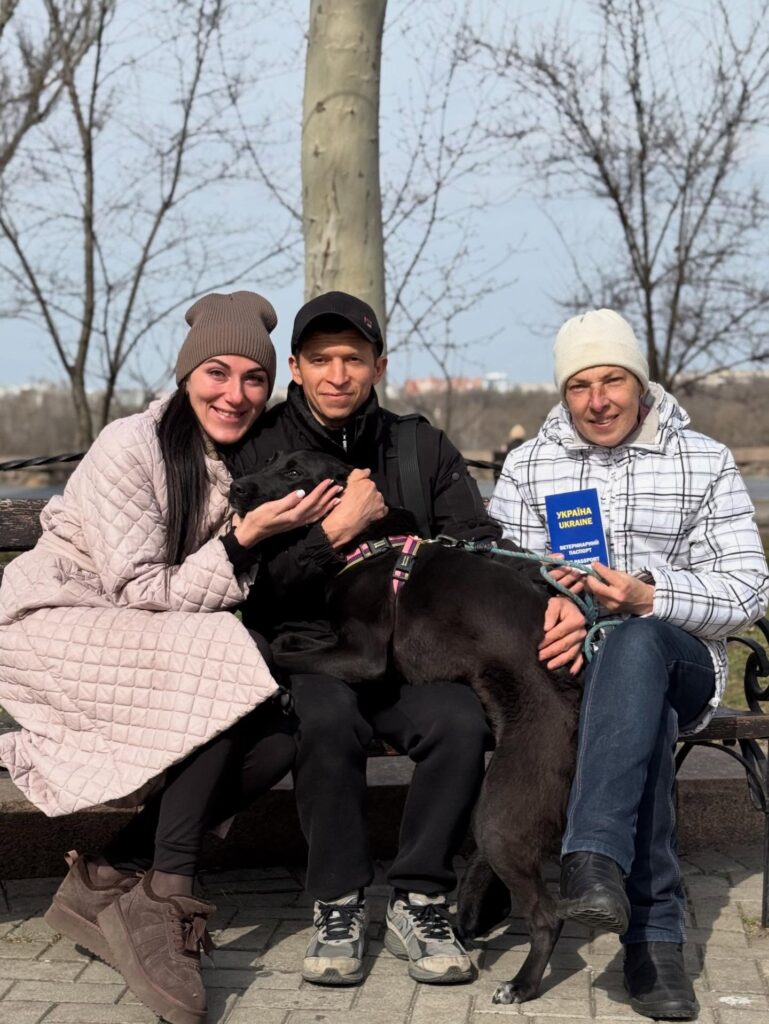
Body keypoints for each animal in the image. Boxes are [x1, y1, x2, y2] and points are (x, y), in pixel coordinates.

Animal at [230, 450, 582, 1004]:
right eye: (268, 460)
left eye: (294, 472)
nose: (235, 488)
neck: (371, 542)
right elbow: (296, 644)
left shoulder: (365, 656)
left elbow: (279, 652)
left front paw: (273, 657)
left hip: (501, 817)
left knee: (548, 915)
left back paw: (521, 985)